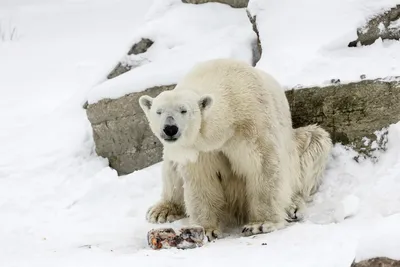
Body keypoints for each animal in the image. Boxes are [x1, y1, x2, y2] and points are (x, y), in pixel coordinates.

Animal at [139, 58, 332, 241]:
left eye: (184, 110)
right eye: (159, 111)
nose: (170, 128)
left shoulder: (254, 122)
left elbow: (263, 166)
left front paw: (260, 224)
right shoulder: (200, 150)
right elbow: (202, 179)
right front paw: (206, 229)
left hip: (298, 149)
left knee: (313, 147)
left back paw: (293, 206)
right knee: (171, 167)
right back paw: (162, 210)